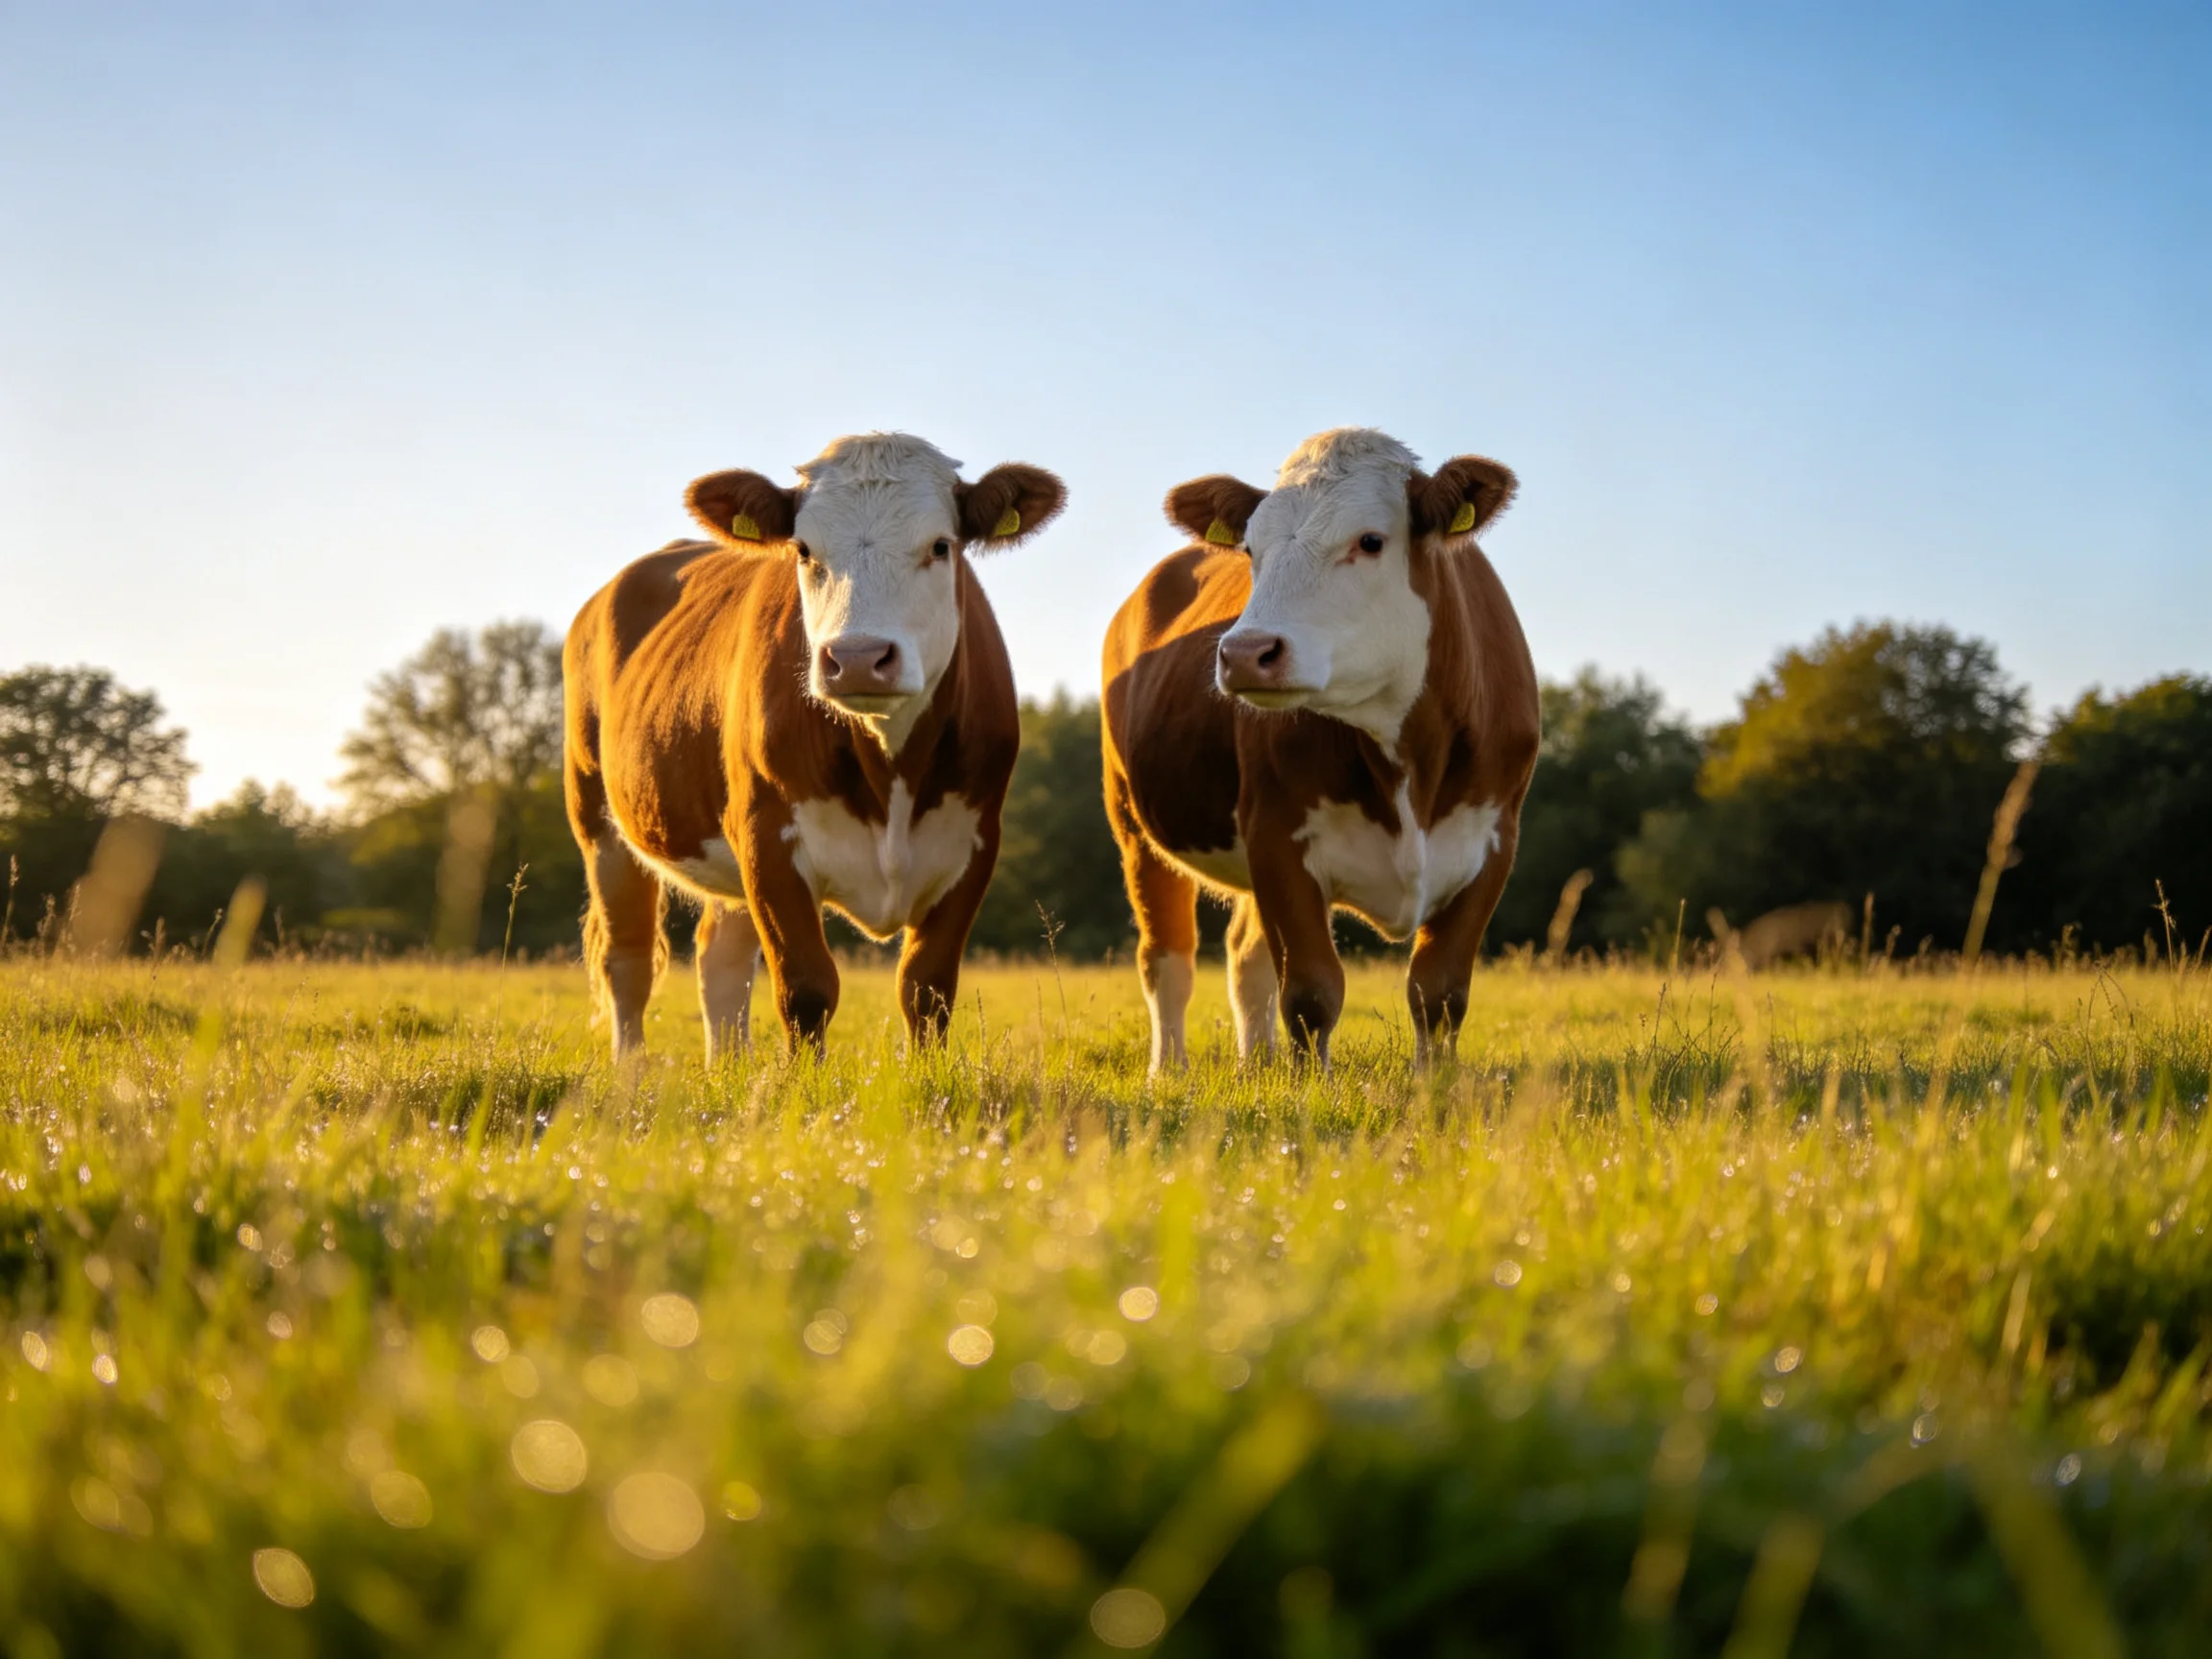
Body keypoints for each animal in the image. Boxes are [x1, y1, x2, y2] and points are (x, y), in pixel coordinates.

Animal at [563, 433, 1066, 1061]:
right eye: (803, 550)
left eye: (941, 546)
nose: (858, 657)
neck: (889, 767)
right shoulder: (768, 839)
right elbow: (806, 990)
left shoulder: (974, 842)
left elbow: (925, 989)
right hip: (599, 823)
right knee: (627, 959)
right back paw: (629, 1072)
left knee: (718, 957)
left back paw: (727, 1067)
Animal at [1102, 428, 1539, 1071]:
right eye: (1251, 548)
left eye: (1370, 540)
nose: (1244, 652)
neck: (1409, 762)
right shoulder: (1278, 835)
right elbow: (1311, 992)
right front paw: (1310, 1088)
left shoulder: (1495, 839)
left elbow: (1439, 993)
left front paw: (1433, 1084)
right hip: (1133, 825)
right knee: (1168, 958)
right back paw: (1169, 1070)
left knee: (1246, 954)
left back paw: (1255, 1065)